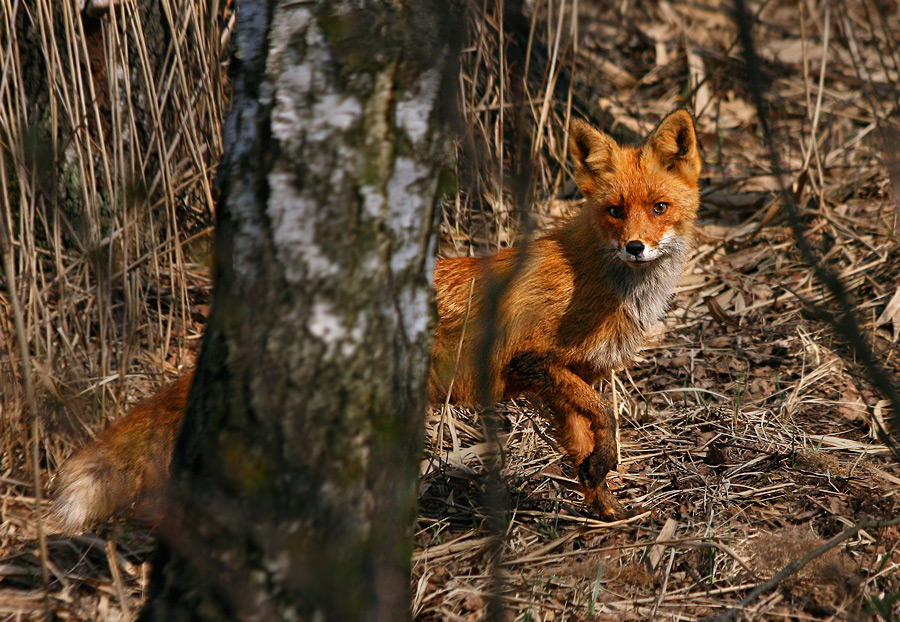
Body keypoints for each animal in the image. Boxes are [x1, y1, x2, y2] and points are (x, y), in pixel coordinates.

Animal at [52, 111, 704, 532]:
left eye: (659, 208)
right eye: (614, 211)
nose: (636, 248)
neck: (598, 279)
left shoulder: (572, 376)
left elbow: (588, 441)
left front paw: (605, 507)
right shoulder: (533, 361)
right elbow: (603, 419)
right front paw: (605, 479)